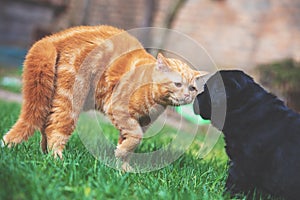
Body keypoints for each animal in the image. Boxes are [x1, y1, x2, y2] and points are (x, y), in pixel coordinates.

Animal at [2, 24, 207, 169]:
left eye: (192, 88)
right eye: (177, 84)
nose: (187, 96)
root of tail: (51, 39)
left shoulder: (140, 122)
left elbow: (129, 142)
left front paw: (123, 165)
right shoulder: (119, 109)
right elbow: (136, 137)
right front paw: (121, 156)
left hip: (50, 98)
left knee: (45, 125)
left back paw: (44, 154)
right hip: (70, 101)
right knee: (55, 128)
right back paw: (57, 159)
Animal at [193, 70, 300, 198]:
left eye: (207, 90)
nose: (196, 97)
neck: (247, 108)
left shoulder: (243, 163)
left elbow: (234, 183)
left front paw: (224, 196)